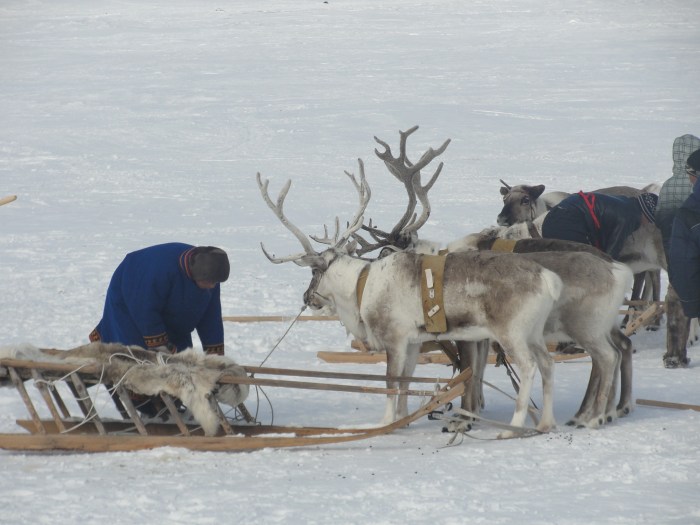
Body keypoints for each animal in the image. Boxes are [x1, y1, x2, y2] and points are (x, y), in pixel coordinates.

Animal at [256, 158, 565, 438]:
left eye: (313, 271)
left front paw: (384, 423)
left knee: (529, 367)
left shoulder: (393, 338)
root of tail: (548, 279)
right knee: (547, 365)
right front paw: (404, 418)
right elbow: (407, 380)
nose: (307, 298)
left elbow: (391, 382)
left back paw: (514, 427)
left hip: (511, 333)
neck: (360, 287)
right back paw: (545, 423)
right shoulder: (414, 342)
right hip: (533, 333)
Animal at [353, 127, 635, 427]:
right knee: (622, 347)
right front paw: (476, 408)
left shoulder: (468, 334)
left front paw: (465, 416)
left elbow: (469, 370)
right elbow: (477, 372)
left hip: (586, 325)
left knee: (605, 357)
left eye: (384, 253)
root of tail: (619, 270)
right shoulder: (483, 335)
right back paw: (613, 409)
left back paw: (590, 416)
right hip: (604, 323)